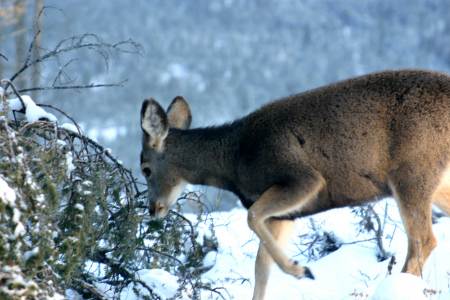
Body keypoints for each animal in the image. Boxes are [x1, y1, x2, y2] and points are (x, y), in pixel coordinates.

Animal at [139, 69, 450, 298]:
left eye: (145, 169)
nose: (153, 209)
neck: (235, 160)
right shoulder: (285, 215)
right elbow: (261, 267)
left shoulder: (301, 178)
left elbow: (253, 219)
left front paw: (303, 271)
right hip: (436, 182)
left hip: (413, 170)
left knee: (422, 240)